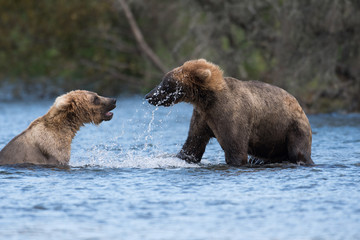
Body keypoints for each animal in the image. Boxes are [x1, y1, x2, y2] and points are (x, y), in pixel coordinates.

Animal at [145, 59, 314, 166]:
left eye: (166, 83)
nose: (149, 96)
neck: (207, 100)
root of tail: (299, 105)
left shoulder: (231, 115)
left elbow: (236, 149)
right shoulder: (203, 117)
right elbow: (192, 145)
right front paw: (181, 157)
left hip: (291, 126)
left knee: (298, 150)